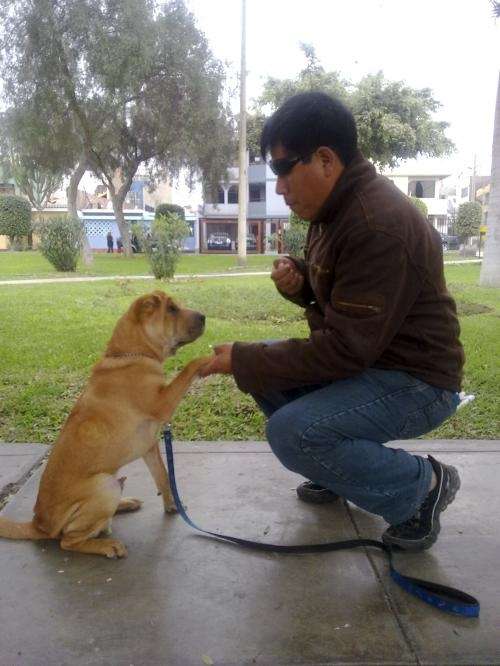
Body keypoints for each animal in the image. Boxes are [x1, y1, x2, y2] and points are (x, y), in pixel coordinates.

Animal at [0, 290, 212, 556]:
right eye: (172, 309)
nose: (204, 317)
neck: (131, 354)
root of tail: (38, 525)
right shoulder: (163, 402)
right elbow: (189, 367)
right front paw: (211, 357)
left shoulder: (149, 446)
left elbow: (163, 477)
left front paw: (172, 505)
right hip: (104, 485)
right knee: (69, 541)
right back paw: (107, 545)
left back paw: (126, 503)